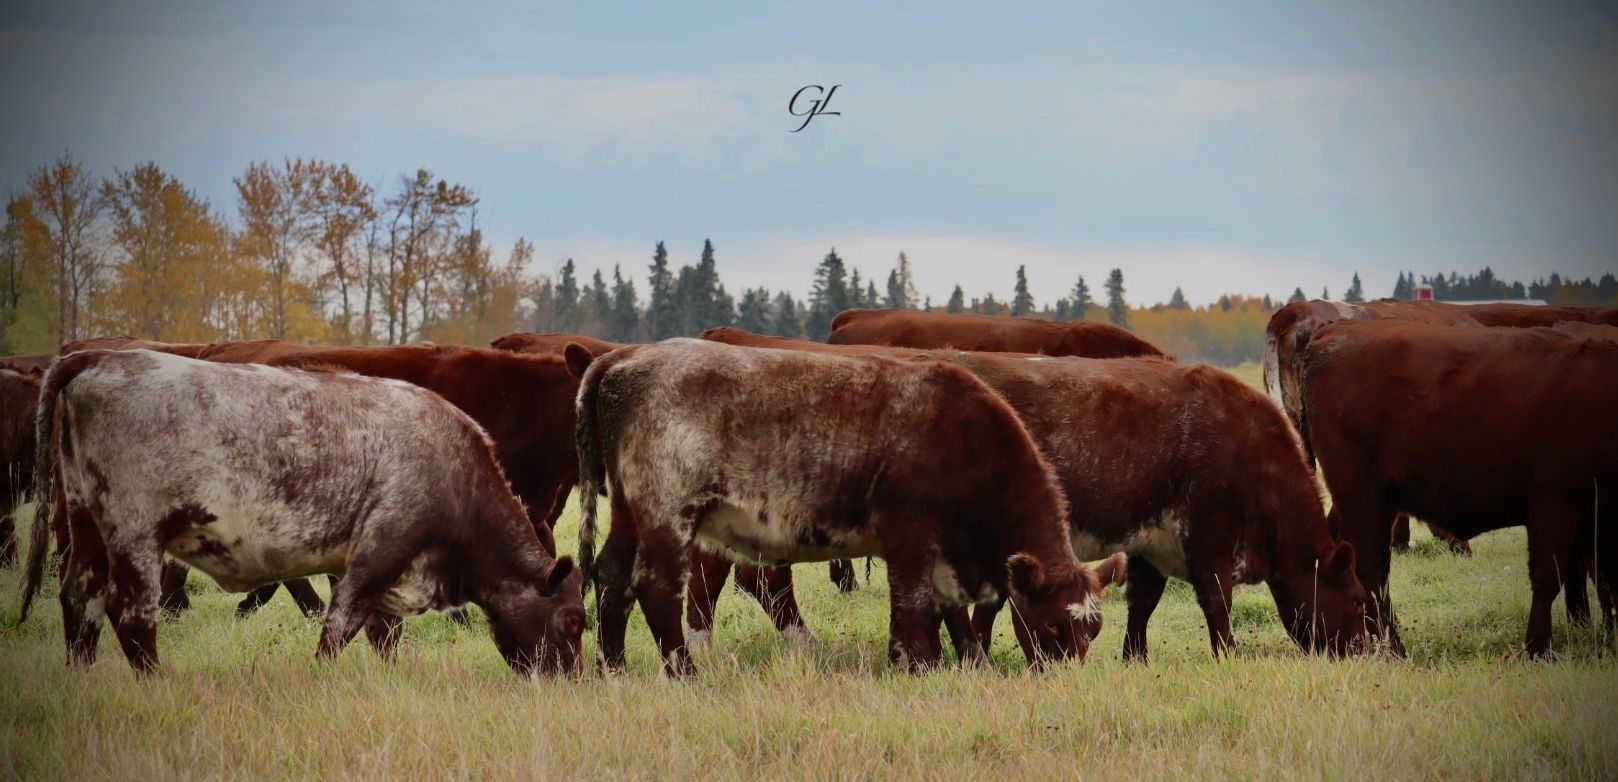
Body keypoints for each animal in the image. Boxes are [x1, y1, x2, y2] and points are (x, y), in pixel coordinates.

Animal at [16, 349, 584, 675]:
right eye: (575, 620)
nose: (573, 678)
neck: (453, 467)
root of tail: (96, 360)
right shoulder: (378, 557)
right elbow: (340, 628)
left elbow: (383, 635)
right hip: (135, 537)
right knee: (130, 613)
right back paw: (155, 683)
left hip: (86, 528)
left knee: (79, 600)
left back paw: (82, 678)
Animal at [573, 339, 1124, 675]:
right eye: (1052, 624)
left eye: (1094, 629)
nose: (1062, 674)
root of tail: (625, 357)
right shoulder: (910, 535)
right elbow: (915, 605)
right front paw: (922, 667)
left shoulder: (944, 555)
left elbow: (950, 615)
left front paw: (959, 665)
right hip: (668, 513)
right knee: (657, 587)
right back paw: (684, 673)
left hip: (628, 511)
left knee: (612, 579)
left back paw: (614, 669)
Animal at [698, 327, 1370, 659]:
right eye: (1363, 603)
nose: (1372, 651)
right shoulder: (1206, 532)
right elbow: (1216, 602)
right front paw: (1226, 655)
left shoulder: (1146, 537)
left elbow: (1143, 601)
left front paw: (1134, 657)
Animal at [1300, 320, 1618, 657]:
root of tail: (1330, 332)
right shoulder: (1555, 504)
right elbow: (1549, 578)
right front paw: (1537, 647)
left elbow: (1606, 580)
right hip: (1363, 498)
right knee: (1372, 572)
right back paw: (1393, 648)